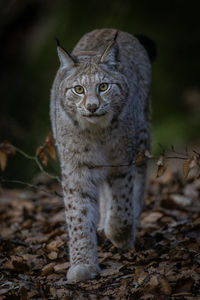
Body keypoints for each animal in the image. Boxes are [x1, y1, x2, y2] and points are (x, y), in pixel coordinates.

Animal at [50, 28, 156, 282]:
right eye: (78, 89)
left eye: (104, 86)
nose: (91, 107)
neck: (96, 132)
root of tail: (109, 29)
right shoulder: (76, 169)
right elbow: (78, 215)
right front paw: (83, 264)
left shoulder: (122, 162)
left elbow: (122, 205)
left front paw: (119, 235)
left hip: (142, 135)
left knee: (138, 183)